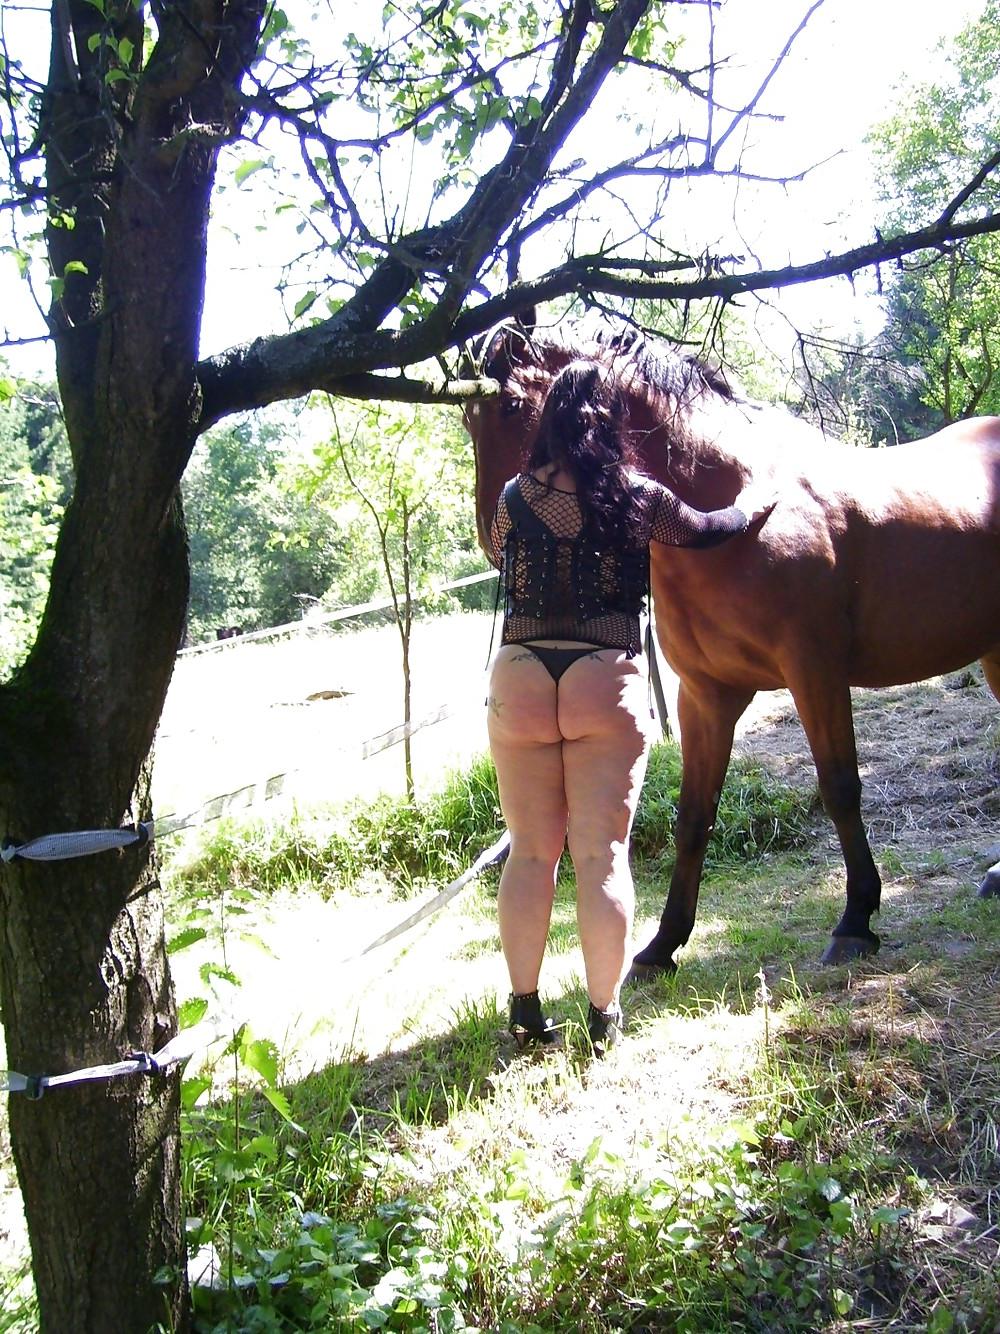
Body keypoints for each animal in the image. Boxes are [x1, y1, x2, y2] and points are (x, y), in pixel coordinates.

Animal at [463, 318, 1000, 978]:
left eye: (513, 405)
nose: (496, 535)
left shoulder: (816, 675)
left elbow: (840, 788)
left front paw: (855, 921)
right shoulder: (706, 696)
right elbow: (694, 815)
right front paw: (662, 945)